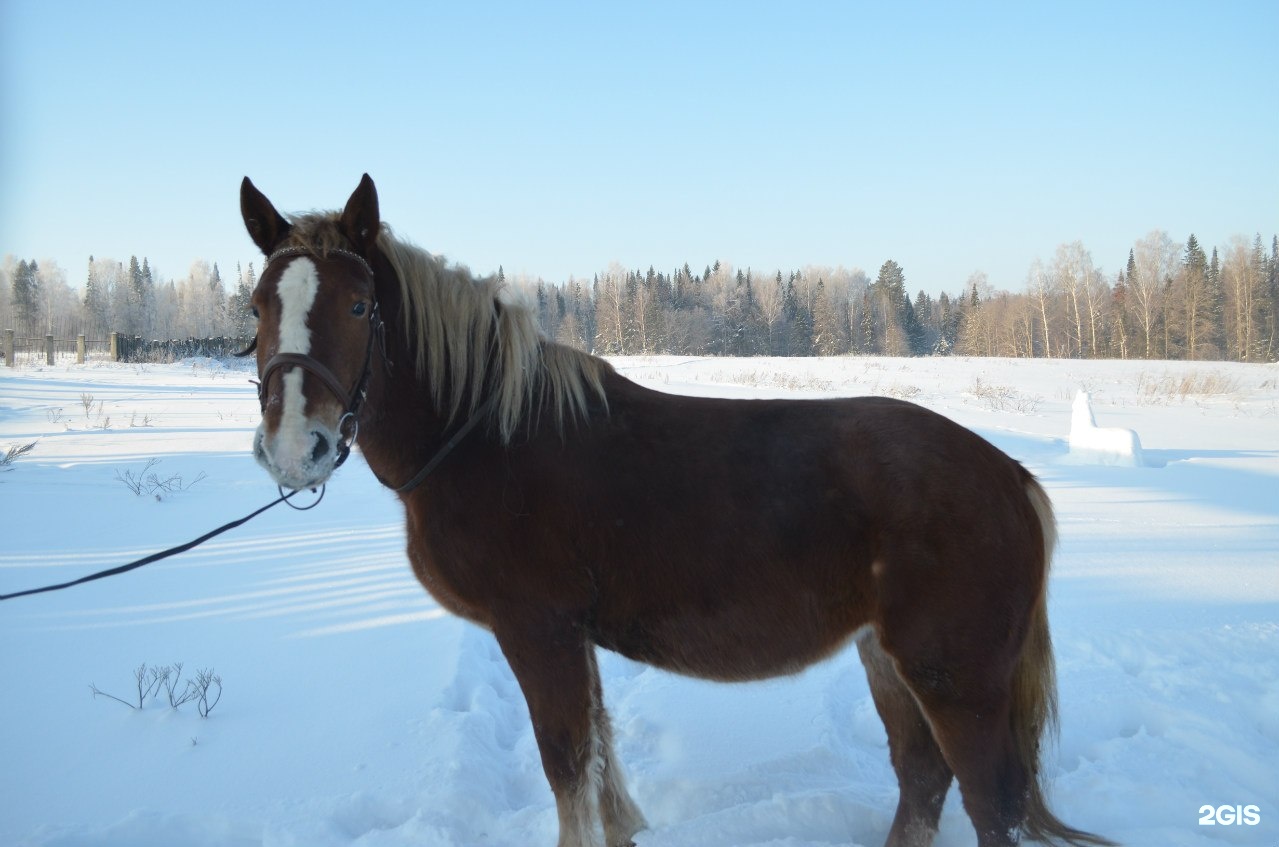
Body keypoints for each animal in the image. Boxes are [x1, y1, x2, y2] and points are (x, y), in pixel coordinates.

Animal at [237, 174, 1110, 847]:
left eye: (358, 306)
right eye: (255, 308)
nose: (295, 446)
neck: (485, 435)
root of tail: (1009, 477)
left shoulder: (537, 630)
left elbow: (567, 765)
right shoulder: (572, 636)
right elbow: (596, 758)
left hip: (957, 679)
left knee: (987, 803)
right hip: (886, 658)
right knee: (921, 777)